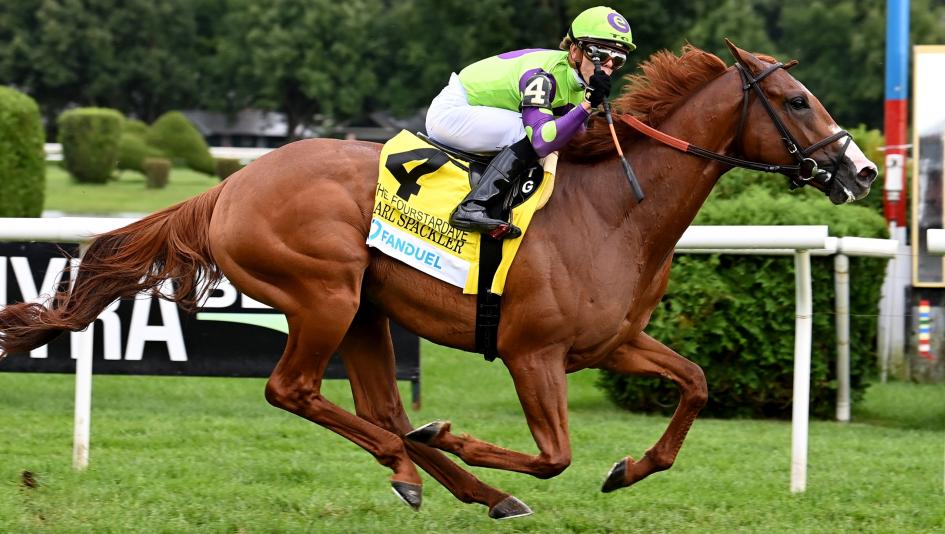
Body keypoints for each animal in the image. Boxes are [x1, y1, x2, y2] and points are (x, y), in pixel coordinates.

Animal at [0, 40, 876, 519]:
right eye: (795, 99)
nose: (860, 171)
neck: (615, 209)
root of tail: (229, 185)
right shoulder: (532, 352)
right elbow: (552, 455)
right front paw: (456, 436)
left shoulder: (613, 343)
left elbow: (693, 383)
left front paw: (627, 469)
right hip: (323, 295)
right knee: (295, 392)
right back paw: (425, 461)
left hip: (363, 310)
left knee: (372, 407)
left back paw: (442, 478)